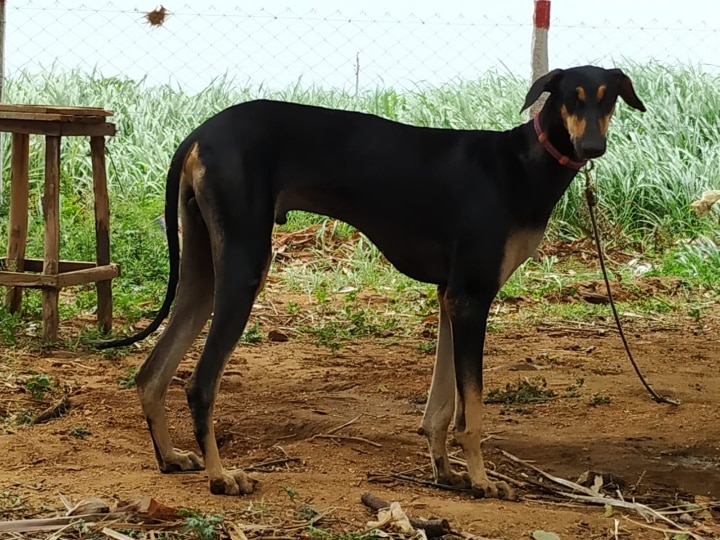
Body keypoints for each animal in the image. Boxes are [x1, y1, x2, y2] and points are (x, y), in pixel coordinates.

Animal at [98, 65, 644, 500]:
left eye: (608, 99)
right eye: (572, 97)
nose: (593, 146)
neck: (520, 162)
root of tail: (199, 132)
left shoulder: (450, 297)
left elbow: (441, 405)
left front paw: (446, 472)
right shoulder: (472, 299)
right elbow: (472, 410)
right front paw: (483, 481)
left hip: (204, 275)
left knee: (151, 373)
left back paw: (172, 458)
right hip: (244, 267)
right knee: (200, 382)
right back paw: (221, 476)